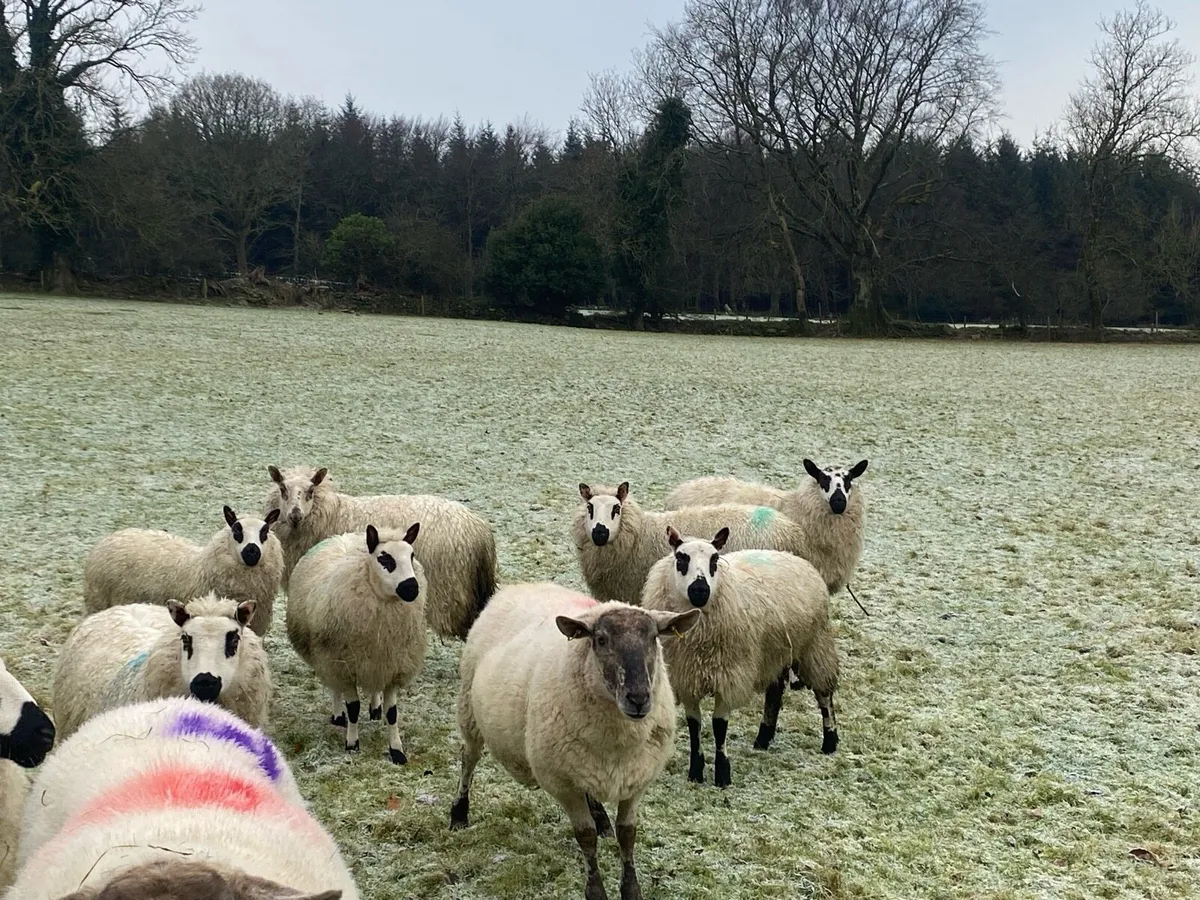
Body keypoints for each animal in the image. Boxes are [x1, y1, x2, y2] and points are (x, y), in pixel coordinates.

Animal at [265, 465, 498, 640]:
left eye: (311, 491)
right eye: (283, 489)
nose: (295, 516)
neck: (330, 512)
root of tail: (480, 531)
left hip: (451, 592)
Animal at [287, 524, 428, 764]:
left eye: (411, 555)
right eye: (384, 558)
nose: (411, 589)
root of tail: (342, 537)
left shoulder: (393, 665)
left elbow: (392, 713)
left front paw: (396, 750)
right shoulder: (344, 666)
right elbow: (353, 708)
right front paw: (352, 743)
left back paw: (375, 707)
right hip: (330, 658)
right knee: (335, 688)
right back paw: (338, 716)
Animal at [450, 582, 699, 900]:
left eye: (654, 638)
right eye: (601, 640)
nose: (639, 698)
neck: (617, 743)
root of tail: (524, 585)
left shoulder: (636, 778)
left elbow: (627, 834)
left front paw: (631, 888)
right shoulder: (562, 783)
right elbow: (585, 836)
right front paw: (596, 891)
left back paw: (601, 817)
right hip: (469, 709)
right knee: (468, 759)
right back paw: (459, 814)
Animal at [641, 527, 840, 788]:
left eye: (715, 559)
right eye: (681, 558)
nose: (700, 591)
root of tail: (794, 558)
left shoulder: (729, 675)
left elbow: (719, 725)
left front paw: (723, 775)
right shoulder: (686, 677)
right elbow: (695, 725)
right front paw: (695, 772)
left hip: (813, 646)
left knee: (824, 694)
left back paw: (830, 741)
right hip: (775, 653)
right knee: (775, 692)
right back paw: (763, 738)